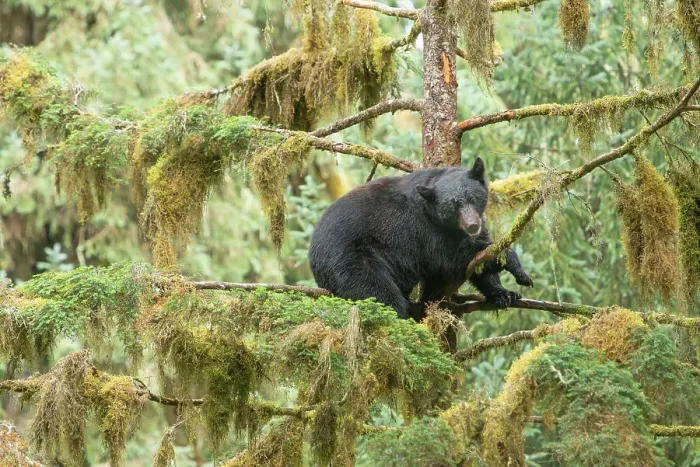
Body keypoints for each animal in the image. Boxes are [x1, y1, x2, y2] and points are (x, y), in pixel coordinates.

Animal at [308, 157, 533, 320]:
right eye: (453, 206)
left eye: (472, 198)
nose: (472, 225)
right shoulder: (421, 230)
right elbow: (452, 258)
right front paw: (514, 264)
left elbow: (480, 259)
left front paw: (504, 293)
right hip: (352, 259)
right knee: (376, 292)